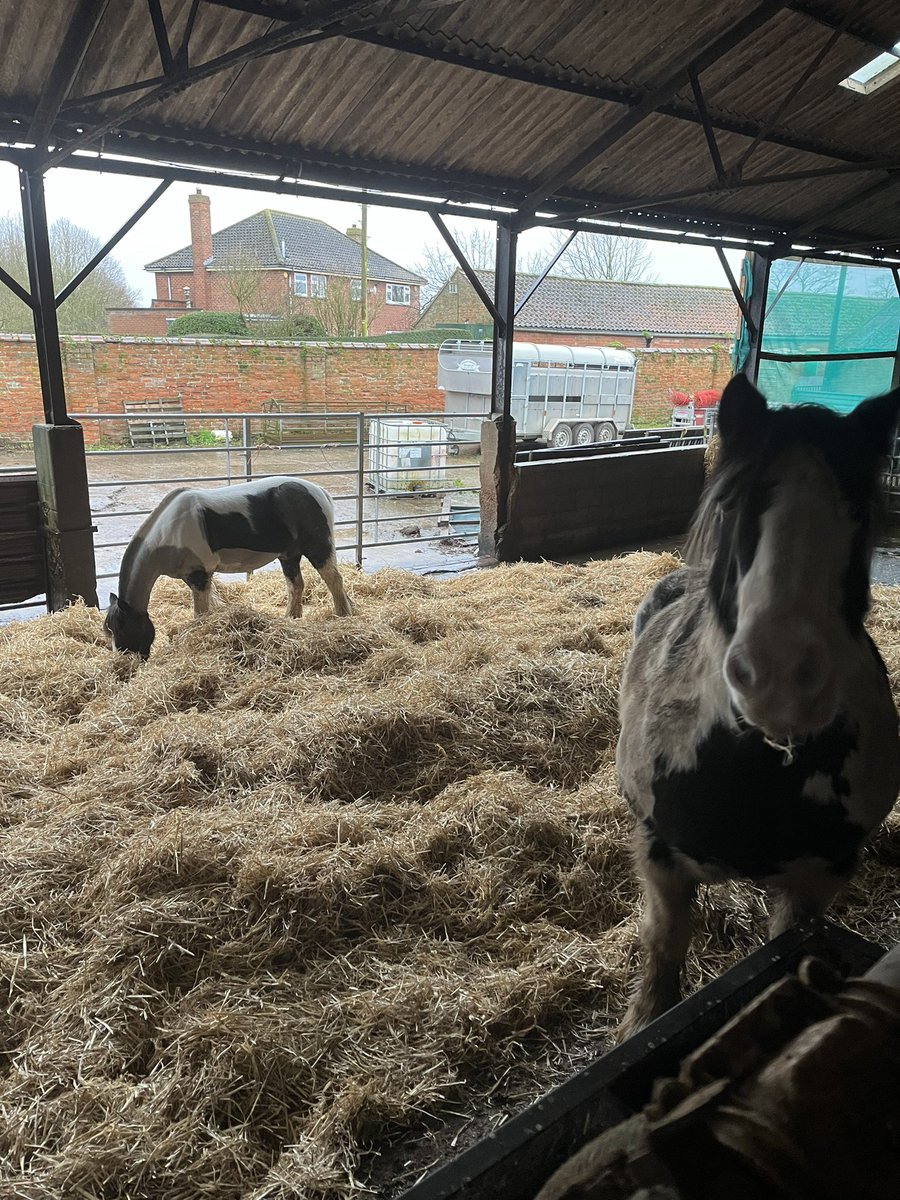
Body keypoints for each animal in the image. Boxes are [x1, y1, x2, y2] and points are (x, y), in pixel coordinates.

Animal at [104, 475, 354, 658]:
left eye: (122, 627)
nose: (123, 665)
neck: (169, 533)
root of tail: (320, 491)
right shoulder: (195, 578)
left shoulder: (199, 576)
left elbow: (201, 614)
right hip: (289, 556)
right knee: (296, 586)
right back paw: (290, 619)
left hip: (318, 549)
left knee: (334, 581)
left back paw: (342, 616)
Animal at [616, 374, 900, 1039]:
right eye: (732, 507)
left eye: (860, 516)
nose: (779, 678)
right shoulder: (660, 857)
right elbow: (662, 958)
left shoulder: (817, 879)